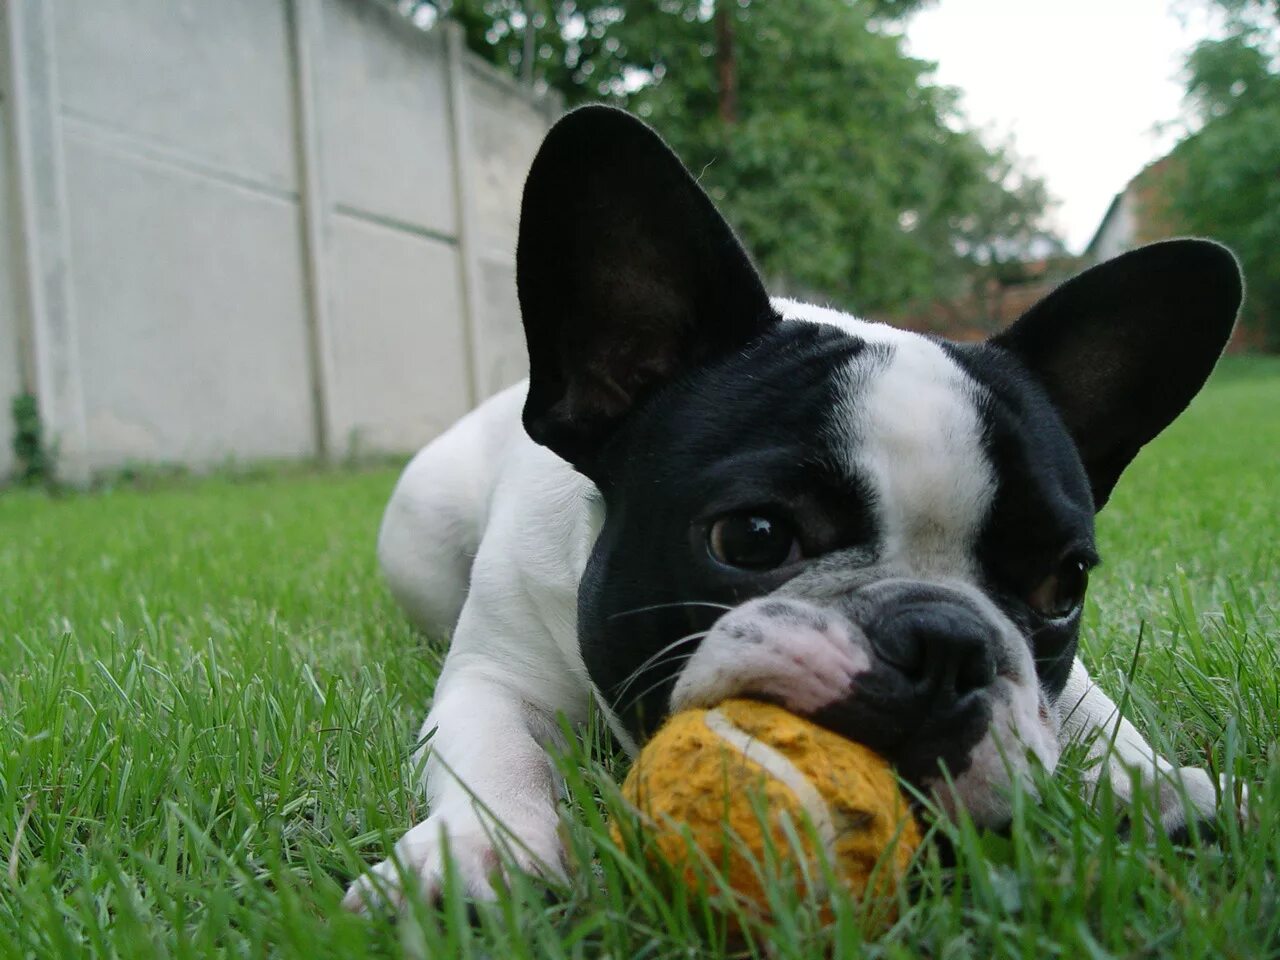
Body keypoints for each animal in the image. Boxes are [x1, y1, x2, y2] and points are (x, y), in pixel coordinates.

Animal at [340, 108, 1239, 911]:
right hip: (420, 544)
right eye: (753, 536)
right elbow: (492, 760)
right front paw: (478, 852)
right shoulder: (496, 677)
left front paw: (1150, 785)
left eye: (1064, 585)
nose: (944, 641)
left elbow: (1089, 710)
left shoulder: (1056, 679)